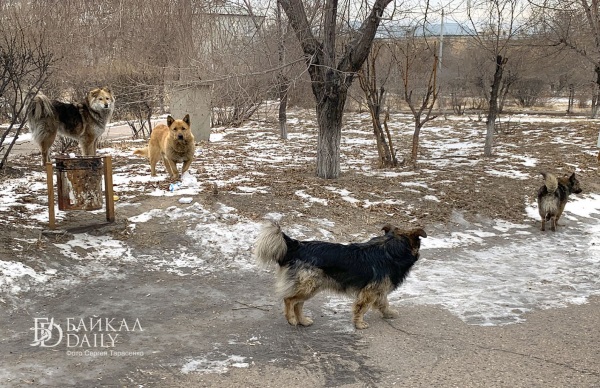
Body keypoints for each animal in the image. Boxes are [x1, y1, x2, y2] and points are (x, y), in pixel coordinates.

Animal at [253, 223, 426, 328]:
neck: (391, 249)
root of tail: (297, 246)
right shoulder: (369, 292)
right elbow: (361, 308)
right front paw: (359, 324)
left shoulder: (378, 289)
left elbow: (384, 303)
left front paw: (389, 313)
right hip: (310, 286)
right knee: (289, 300)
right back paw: (291, 319)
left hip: (310, 287)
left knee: (298, 304)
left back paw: (303, 320)